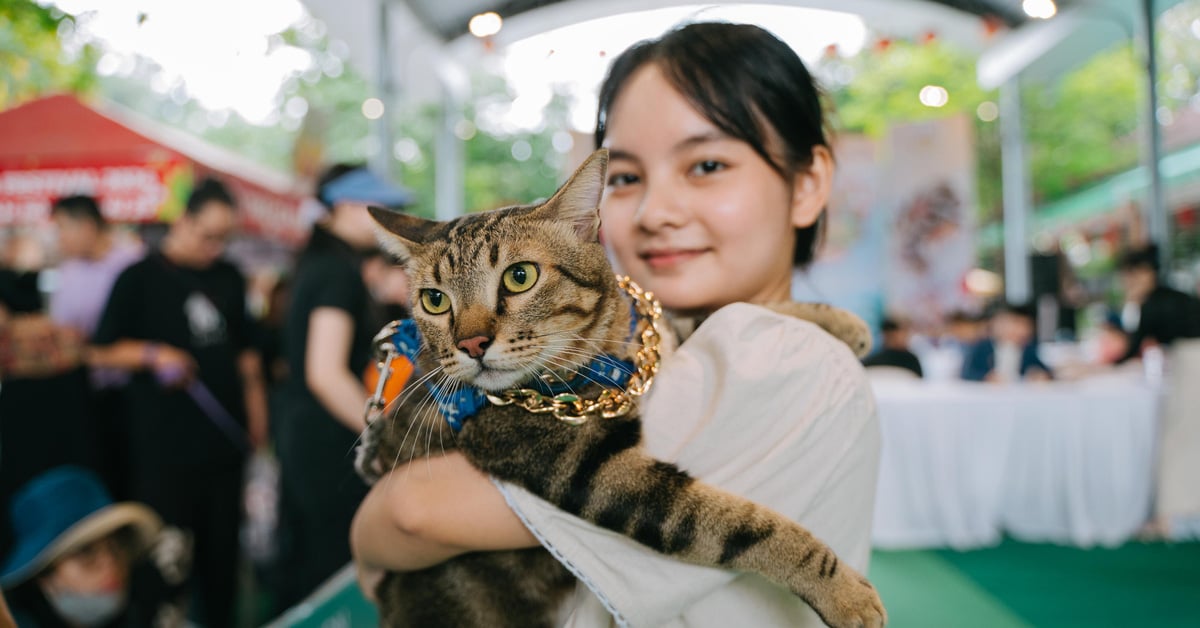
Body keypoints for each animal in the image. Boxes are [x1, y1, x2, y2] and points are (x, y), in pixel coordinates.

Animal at [352, 151, 883, 628]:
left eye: (520, 276)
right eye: (434, 300)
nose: (470, 343)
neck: (605, 353)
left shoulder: (657, 340)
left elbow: (709, 311)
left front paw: (840, 321)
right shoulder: (593, 467)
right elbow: (738, 525)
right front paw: (842, 591)